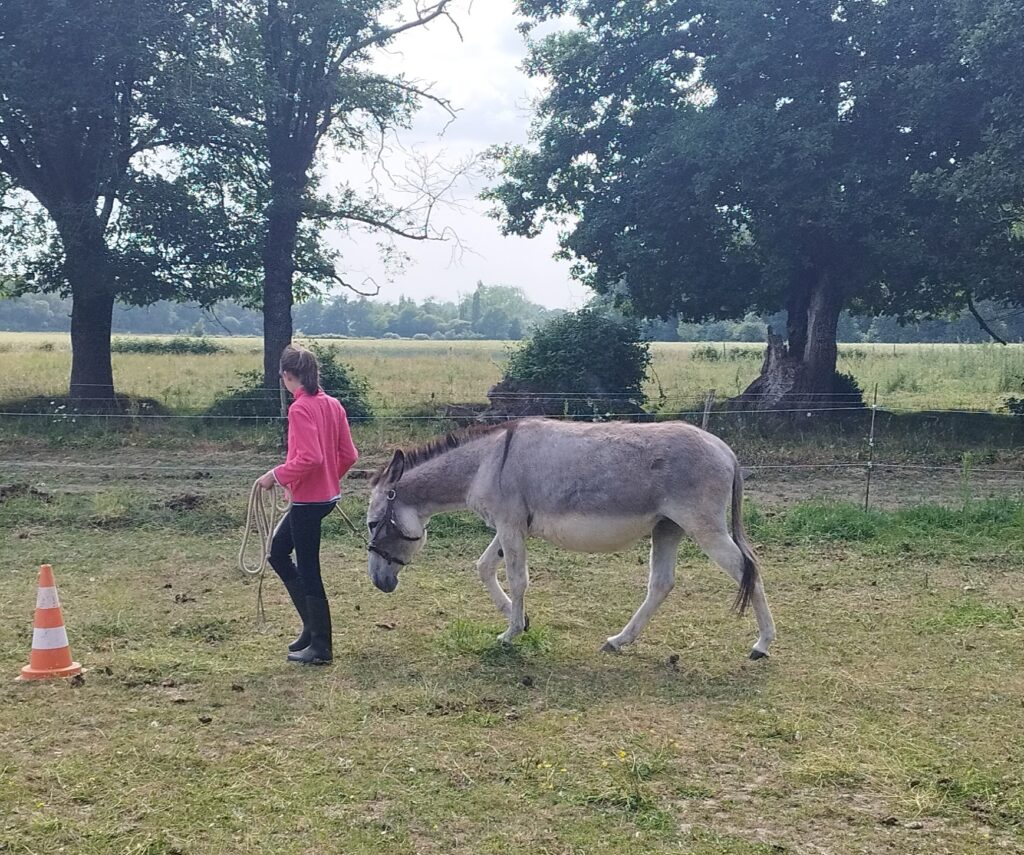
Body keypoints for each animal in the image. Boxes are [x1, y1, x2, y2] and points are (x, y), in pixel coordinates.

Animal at [365, 418, 776, 659]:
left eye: (371, 524)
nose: (378, 583)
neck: (486, 462)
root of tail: (726, 450)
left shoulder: (509, 525)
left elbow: (518, 579)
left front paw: (510, 634)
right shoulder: (511, 526)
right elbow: (484, 567)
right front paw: (519, 619)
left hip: (704, 527)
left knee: (748, 570)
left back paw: (762, 644)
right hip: (667, 528)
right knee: (661, 583)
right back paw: (619, 640)